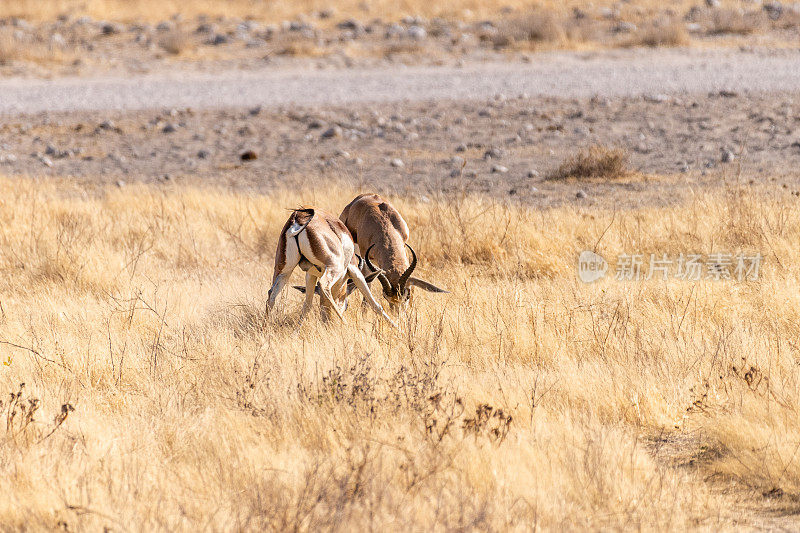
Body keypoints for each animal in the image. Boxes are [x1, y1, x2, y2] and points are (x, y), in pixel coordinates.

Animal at [268, 206, 396, 326]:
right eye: (347, 305)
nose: (326, 321)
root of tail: (298, 218)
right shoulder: (354, 270)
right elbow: (374, 304)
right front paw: (396, 327)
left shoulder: (310, 274)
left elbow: (307, 304)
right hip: (335, 268)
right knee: (324, 285)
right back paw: (345, 324)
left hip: (283, 271)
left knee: (271, 293)